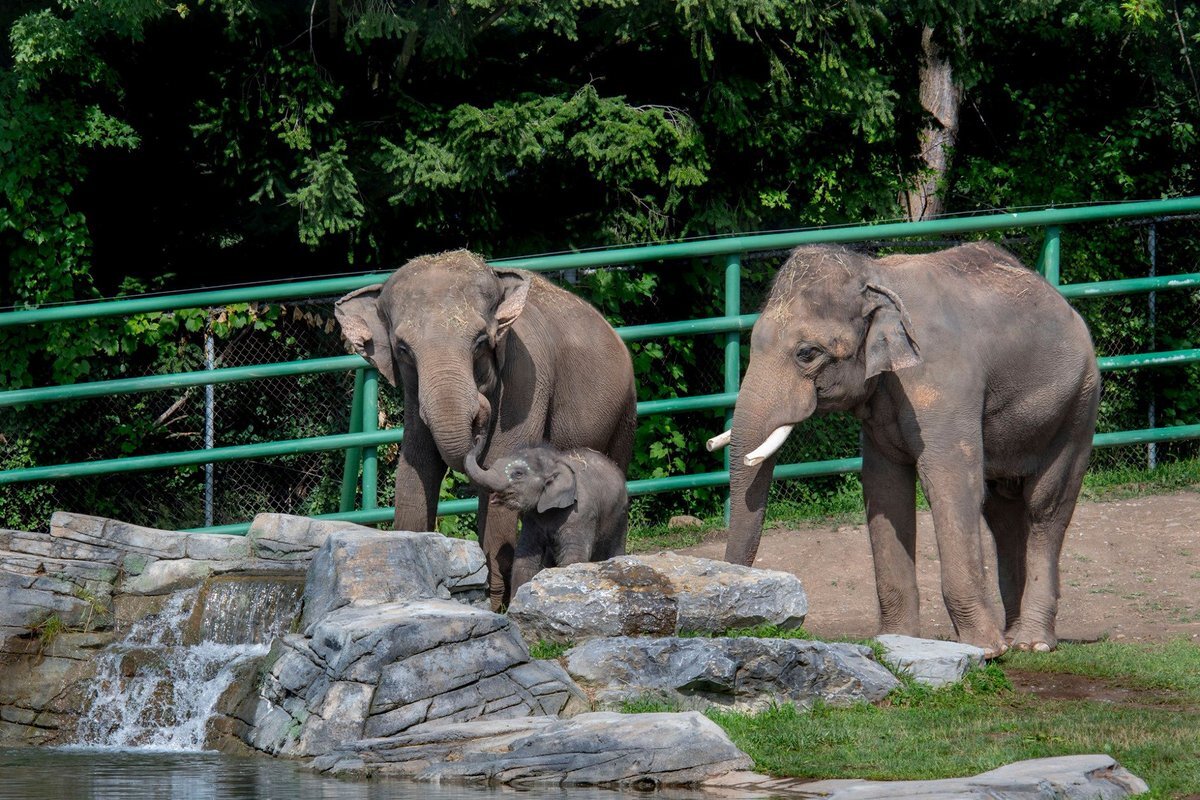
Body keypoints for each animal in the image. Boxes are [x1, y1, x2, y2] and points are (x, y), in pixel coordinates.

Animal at [460, 438, 628, 594]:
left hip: (620, 515)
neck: (556, 463)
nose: (478, 437)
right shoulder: (532, 518)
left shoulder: (581, 514)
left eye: (518, 473)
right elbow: (525, 559)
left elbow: (574, 557)